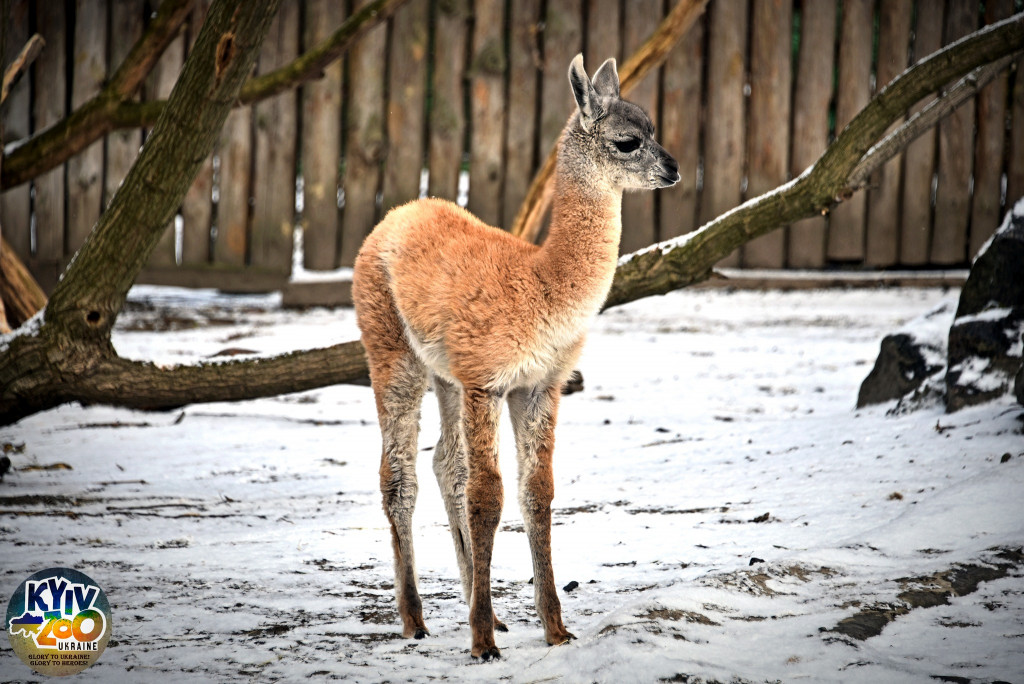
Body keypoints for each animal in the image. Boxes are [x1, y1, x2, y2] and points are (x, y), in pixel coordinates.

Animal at [352, 56, 679, 659]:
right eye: (628, 141)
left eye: (654, 128)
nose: (673, 169)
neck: (542, 282)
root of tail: (397, 213)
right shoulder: (488, 379)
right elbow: (488, 497)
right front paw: (481, 643)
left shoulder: (539, 384)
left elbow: (536, 494)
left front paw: (554, 628)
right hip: (391, 348)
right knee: (399, 475)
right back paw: (415, 618)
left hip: (446, 375)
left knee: (445, 464)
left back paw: (480, 605)